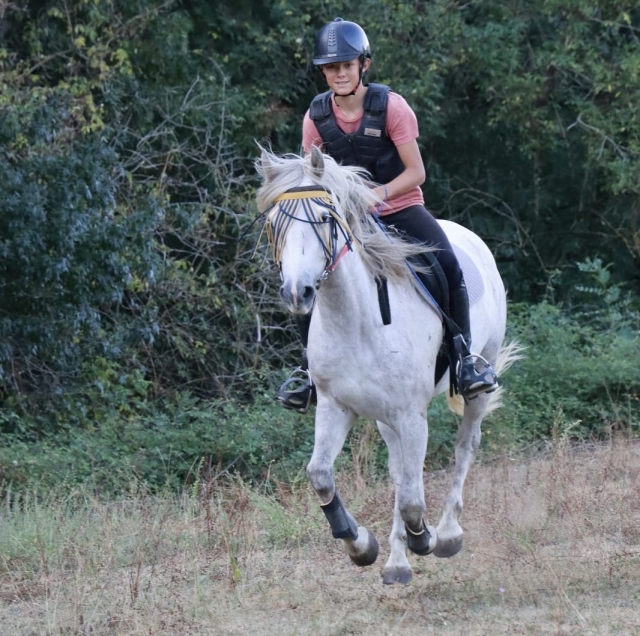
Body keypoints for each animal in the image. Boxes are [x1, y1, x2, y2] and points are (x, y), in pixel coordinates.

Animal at [255, 144, 521, 585]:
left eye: (325, 218)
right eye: (275, 225)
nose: (298, 292)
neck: (355, 320)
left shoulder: (411, 414)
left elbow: (413, 498)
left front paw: (424, 539)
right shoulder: (335, 406)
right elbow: (321, 476)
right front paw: (361, 545)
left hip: (478, 379)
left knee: (465, 445)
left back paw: (447, 534)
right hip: (383, 417)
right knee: (399, 471)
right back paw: (398, 562)